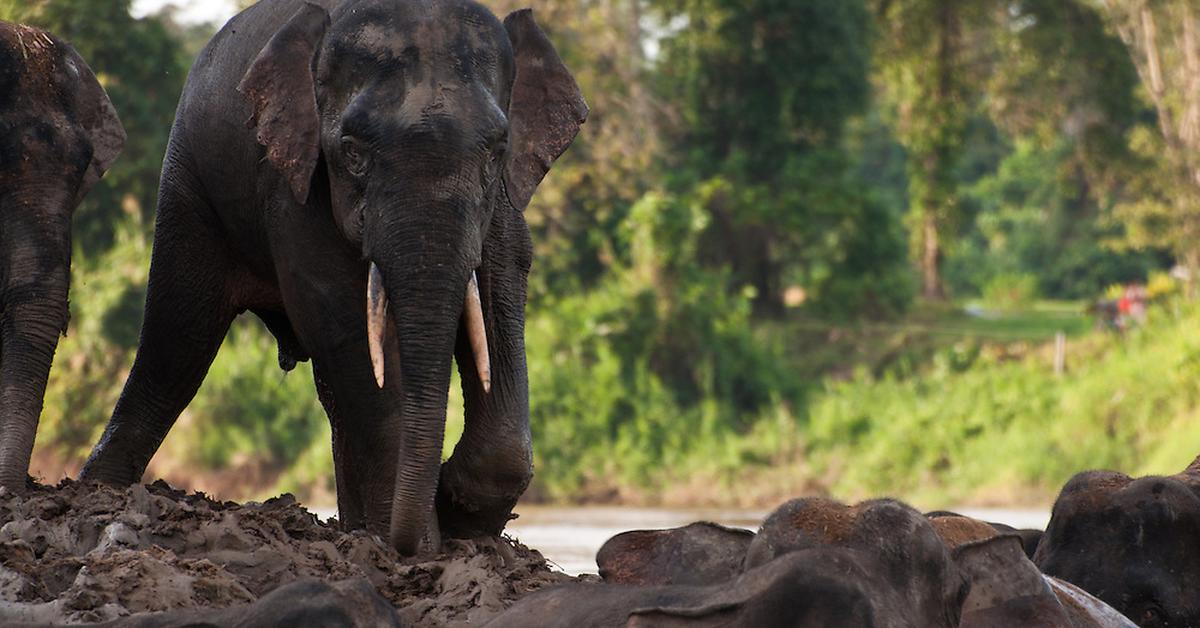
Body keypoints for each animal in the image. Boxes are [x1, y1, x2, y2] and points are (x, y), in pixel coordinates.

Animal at [76, 0, 585, 554]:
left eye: (496, 151)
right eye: (353, 152)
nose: (418, 535)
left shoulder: (506, 193)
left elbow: (504, 274)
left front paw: (454, 518)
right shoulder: (291, 173)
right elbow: (339, 312)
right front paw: (419, 546)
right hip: (190, 184)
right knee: (177, 341)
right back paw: (97, 492)